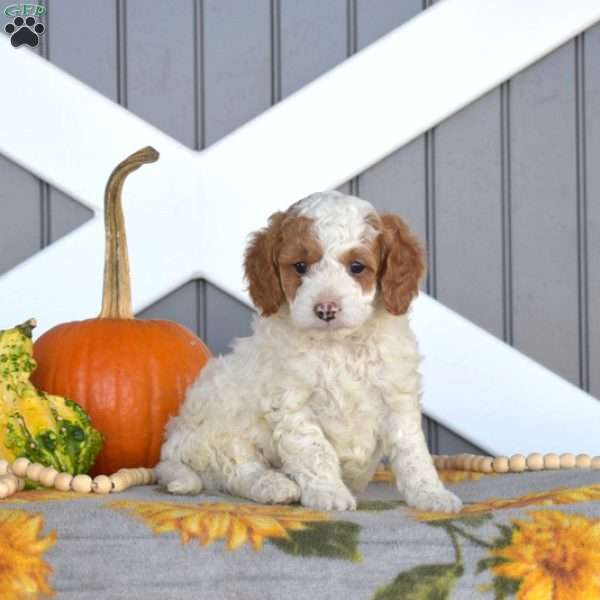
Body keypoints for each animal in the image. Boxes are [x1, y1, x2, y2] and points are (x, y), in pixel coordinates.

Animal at [156, 191, 464, 510]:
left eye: (356, 267)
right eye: (301, 266)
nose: (325, 309)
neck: (339, 345)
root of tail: (172, 444)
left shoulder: (396, 396)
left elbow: (412, 450)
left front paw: (431, 494)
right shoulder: (292, 403)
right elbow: (314, 449)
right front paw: (329, 493)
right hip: (219, 427)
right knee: (237, 468)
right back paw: (274, 485)